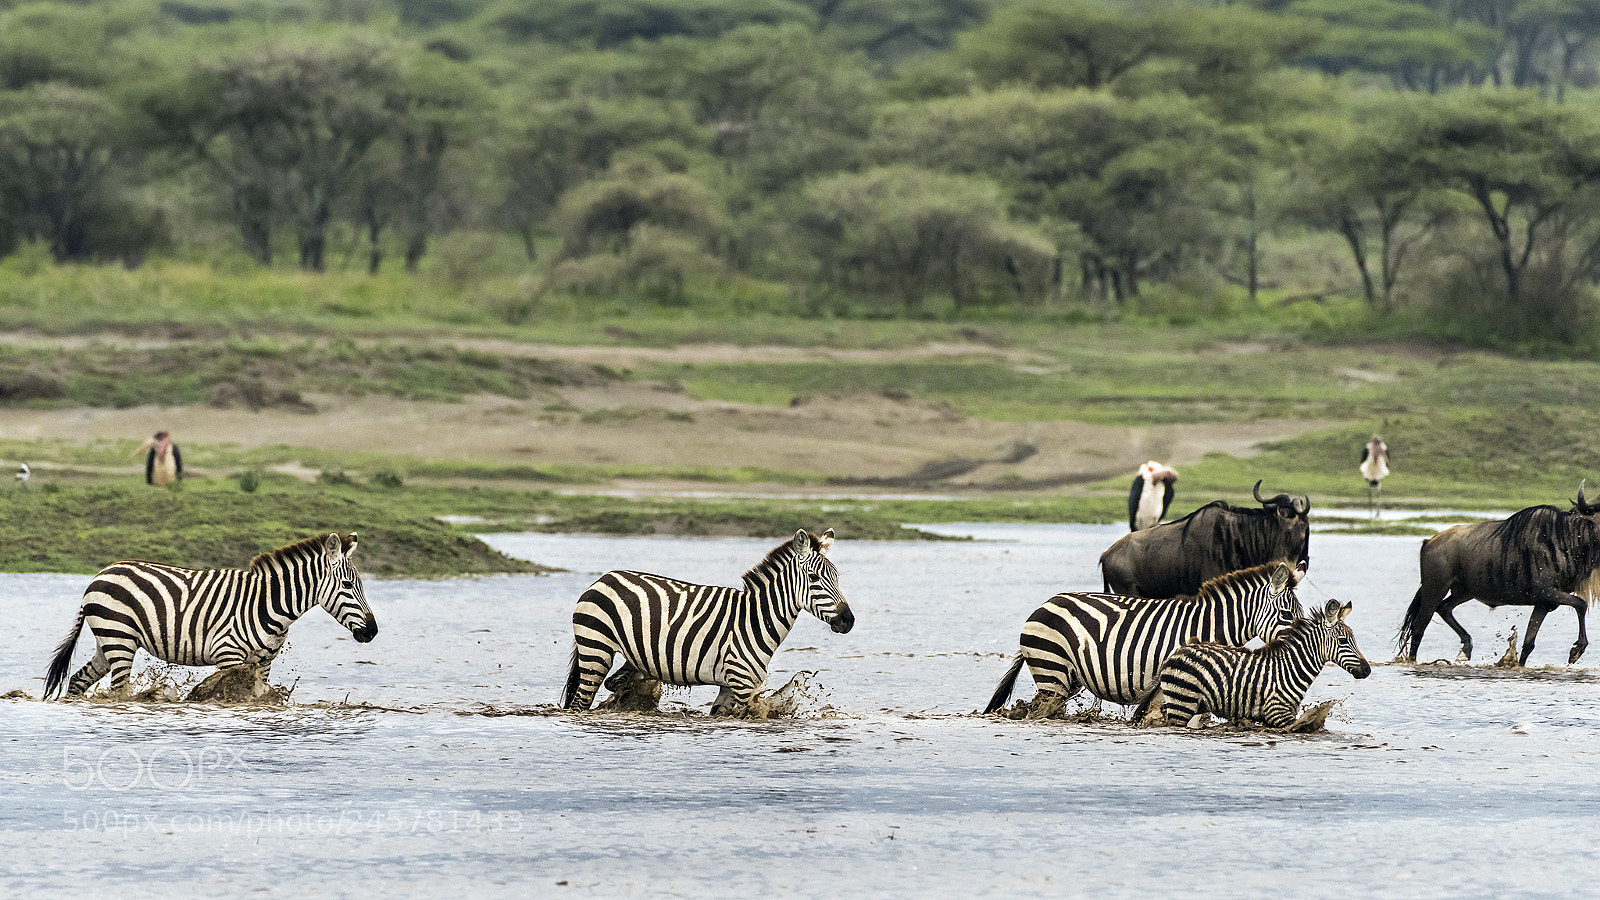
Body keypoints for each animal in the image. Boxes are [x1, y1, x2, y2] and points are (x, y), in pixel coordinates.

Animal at [44, 532, 377, 699]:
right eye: (348, 585)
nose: (372, 631)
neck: (268, 604)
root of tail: (100, 574)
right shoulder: (229, 657)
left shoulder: (264, 662)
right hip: (119, 639)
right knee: (119, 692)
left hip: (109, 642)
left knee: (78, 680)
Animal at [562, 528, 854, 716]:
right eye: (814, 578)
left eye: (837, 577)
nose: (848, 620)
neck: (756, 619)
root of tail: (604, 578)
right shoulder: (742, 686)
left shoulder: (728, 687)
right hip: (596, 650)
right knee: (580, 704)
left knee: (615, 681)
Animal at [1135, 599, 1371, 728]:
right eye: (1343, 641)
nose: (1367, 670)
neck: (1290, 669)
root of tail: (1176, 652)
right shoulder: (1278, 713)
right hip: (1182, 702)